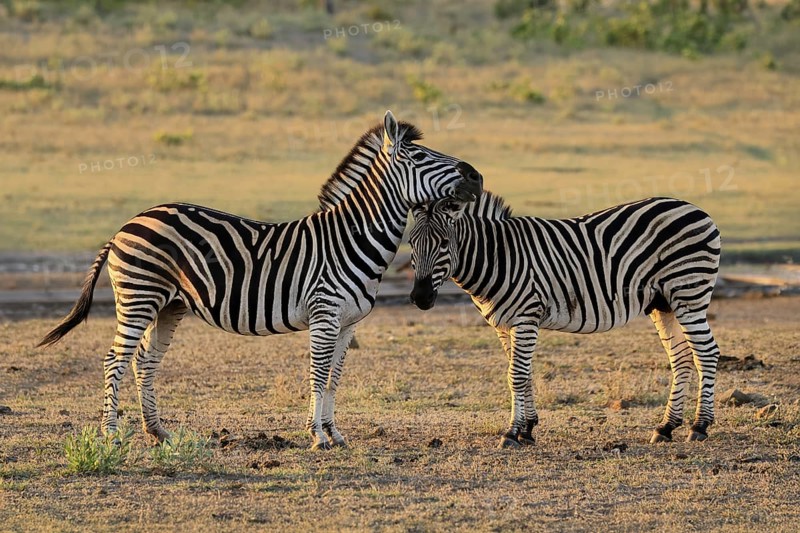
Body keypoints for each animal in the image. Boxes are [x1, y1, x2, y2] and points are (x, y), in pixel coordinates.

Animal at [37, 111, 483, 450]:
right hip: (138, 297)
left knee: (145, 360)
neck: (352, 236)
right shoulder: (324, 315)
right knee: (115, 359)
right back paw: (111, 437)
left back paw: (158, 432)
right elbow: (318, 373)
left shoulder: (348, 324)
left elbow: (334, 378)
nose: (477, 177)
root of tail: (126, 224)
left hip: (169, 304)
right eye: (420, 155)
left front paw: (335, 434)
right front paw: (317, 437)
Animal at [408, 192, 722, 448]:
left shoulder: (525, 316)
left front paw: (511, 433)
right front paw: (527, 428)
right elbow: (523, 374)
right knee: (681, 358)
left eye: (444, 243)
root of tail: (696, 209)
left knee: (706, 353)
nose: (420, 298)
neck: (499, 256)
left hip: (688, 294)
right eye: (411, 243)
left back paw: (699, 426)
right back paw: (666, 427)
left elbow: (516, 375)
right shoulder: (505, 324)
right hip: (663, 304)